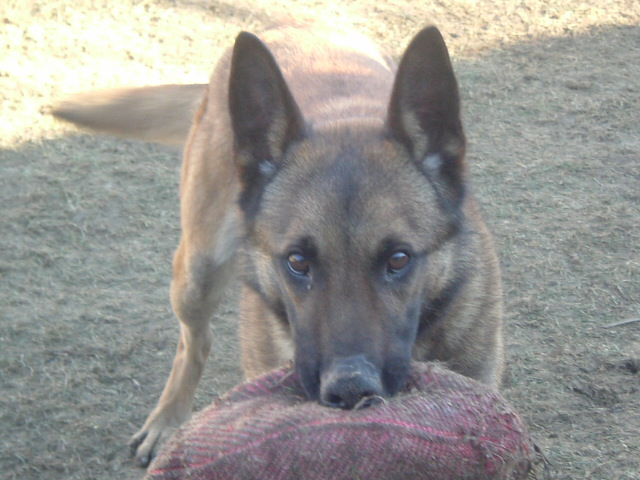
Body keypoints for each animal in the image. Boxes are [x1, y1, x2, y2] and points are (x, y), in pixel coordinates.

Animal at [51, 21, 504, 464]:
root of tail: (288, 23)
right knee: (193, 342)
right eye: (297, 262)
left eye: (398, 259)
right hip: (197, 273)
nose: (350, 390)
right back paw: (167, 419)